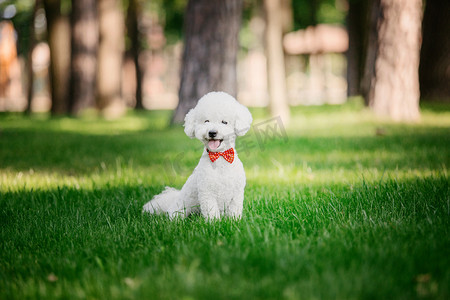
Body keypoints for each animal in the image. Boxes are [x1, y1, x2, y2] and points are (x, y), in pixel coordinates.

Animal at [142, 90, 251, 219]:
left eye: (224, 122)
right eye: (206, 121)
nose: (212, 132)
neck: (219, 158)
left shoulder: (237, 194)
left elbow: (234, 211)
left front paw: (233, 221)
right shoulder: (207, 193)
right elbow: (212, 212)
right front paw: (215, 222)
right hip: (180, 208)